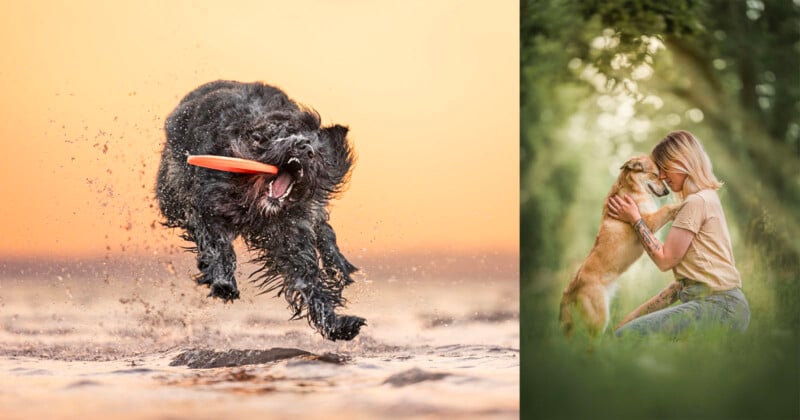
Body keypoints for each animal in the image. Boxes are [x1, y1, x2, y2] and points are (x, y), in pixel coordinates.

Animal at [155, 79, 366, 342]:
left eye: (318, 151)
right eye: (283, 135)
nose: (304, 147)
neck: (256, 203)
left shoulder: (291, 234)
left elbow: (308, 280)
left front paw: (337, 324)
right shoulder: (205, 206)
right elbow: (216, 245)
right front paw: (223, 281)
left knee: (324, 230)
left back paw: (339, 266)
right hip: (170, 194)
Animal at [560, 156, 680, 336]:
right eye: (655, 175)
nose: (667, 192)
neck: (631, 189)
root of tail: (573, 286)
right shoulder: (648, 222)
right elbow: (668, 208)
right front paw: (681, 205)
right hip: (598, 318)